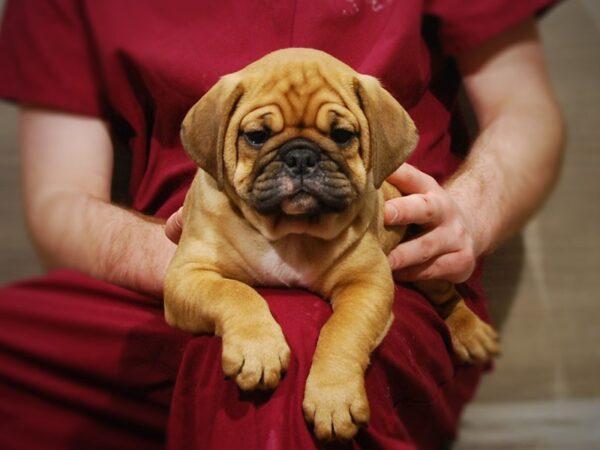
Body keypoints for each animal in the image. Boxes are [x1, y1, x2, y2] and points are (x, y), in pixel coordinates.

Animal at [163, 48, 496, 440]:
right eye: (256, 136)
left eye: (342, 135)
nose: (300, 157)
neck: (289, 231)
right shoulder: (188, 275)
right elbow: (235, 293)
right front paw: (258, 350)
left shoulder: (367, 284)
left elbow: (342, 332)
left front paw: (333, 398)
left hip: (427, 261)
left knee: (448, 298)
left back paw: (471, 333)